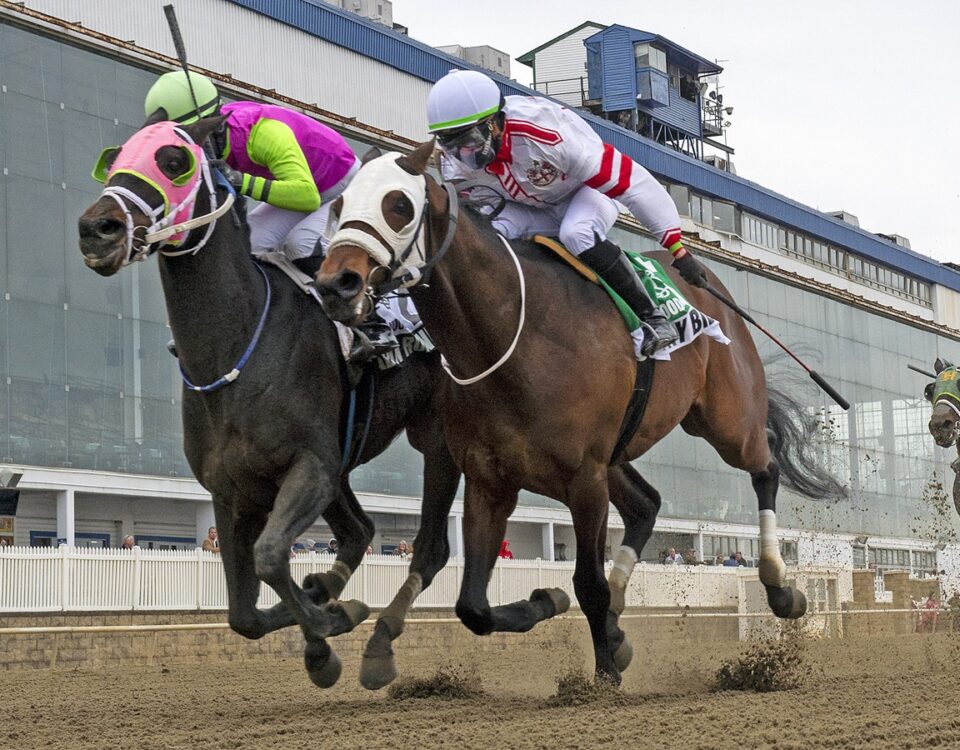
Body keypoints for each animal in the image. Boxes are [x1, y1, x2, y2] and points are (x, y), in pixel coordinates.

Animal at [79, 114, 462, 692]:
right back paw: (332, 592)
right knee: (360, 533)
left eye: (174, 160)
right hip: (342, 466)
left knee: (429, 544)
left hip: (437, 439)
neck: (238, 343)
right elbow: (243, 612)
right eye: (116, 156)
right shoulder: (233, 489)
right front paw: (328, 614)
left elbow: (270, 557)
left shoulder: (310, 467)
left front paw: (327, 637)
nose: (97, 228)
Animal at [314, 142, 840, 688]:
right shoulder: (489, 479)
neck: (512, 337)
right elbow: (471, 606)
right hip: (620, 451)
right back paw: (618, 619)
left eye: (398, 205)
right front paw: (551, 603)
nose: (337, 283)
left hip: (725, 421)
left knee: (764, 468)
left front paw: (604, 670)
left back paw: (780, 587)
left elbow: (587, 582)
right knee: (647, 504)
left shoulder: (584, 479)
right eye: (339, 203)